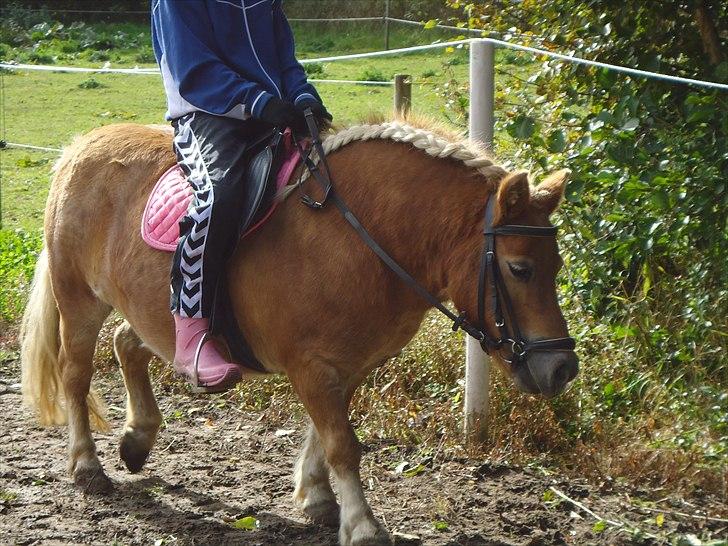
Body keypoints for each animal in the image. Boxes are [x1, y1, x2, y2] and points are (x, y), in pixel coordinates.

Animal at [21, 116, 576, 544]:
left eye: (557, 265)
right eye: (520, 268)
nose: (562, 367)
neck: (357, 237)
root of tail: (79, 148)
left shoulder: (345, 364)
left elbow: (326, 434)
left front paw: (318, 498)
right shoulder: (312, 365)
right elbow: (342, 444)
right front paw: (362, 525)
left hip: (150, 314)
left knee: (128, 344)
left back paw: (137, 439)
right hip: (79, 301)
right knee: (75, 375)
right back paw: (87, 466)